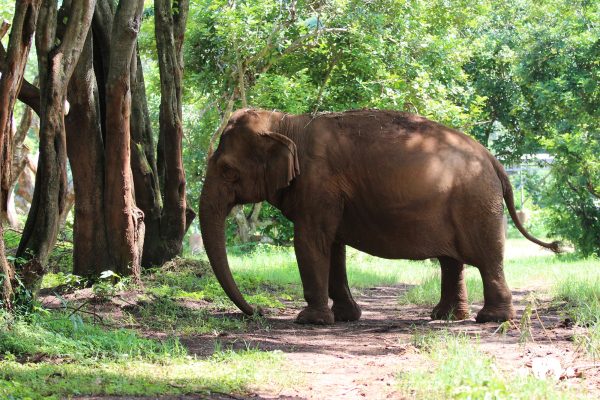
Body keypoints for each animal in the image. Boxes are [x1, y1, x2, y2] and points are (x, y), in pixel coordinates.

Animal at [197, 108, 556, 324]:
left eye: (227, 170)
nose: (256, 311)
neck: (287, 124)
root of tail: (493, 160)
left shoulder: (318, 183)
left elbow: (311, 241)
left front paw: (310, 320)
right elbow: (333, 246)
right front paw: (346, 317)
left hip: (476, 203)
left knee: (487, 258)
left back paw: (492, 319)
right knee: (452, 261)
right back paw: (445, 317)